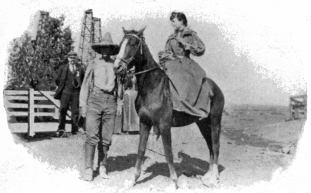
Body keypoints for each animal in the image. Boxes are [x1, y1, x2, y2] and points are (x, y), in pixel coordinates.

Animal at [114, 26, 224, 188]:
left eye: (133, 44)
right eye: (121, 44)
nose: (117, 67)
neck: (153, 87)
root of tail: (215, 88)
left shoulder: (164, 125)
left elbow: (168, 152)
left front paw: (174, 182)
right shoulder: (144, 123)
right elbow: (141, 150)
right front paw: (133, 180)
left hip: (215, 121)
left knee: (215, 146)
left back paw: (214, 178)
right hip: (203, 123)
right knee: (210, 145)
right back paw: (208, 176)